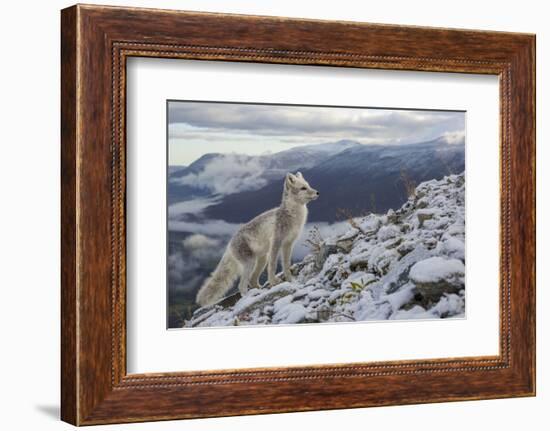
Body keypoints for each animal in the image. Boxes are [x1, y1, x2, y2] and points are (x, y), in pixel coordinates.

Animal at [197, 172, 320, 308]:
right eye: (303, 188)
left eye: (308, 185)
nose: (317, 192)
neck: (292, 215)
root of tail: (229, 244)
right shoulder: (276, 242)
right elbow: (273, 265)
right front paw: (273, 282)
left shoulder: (288, 244)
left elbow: (286, 265)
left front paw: (290, 280)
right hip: (250, 262)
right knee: (242, 285)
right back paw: (248, 298)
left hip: (261, 259)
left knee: (252, 280)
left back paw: (258, 290)